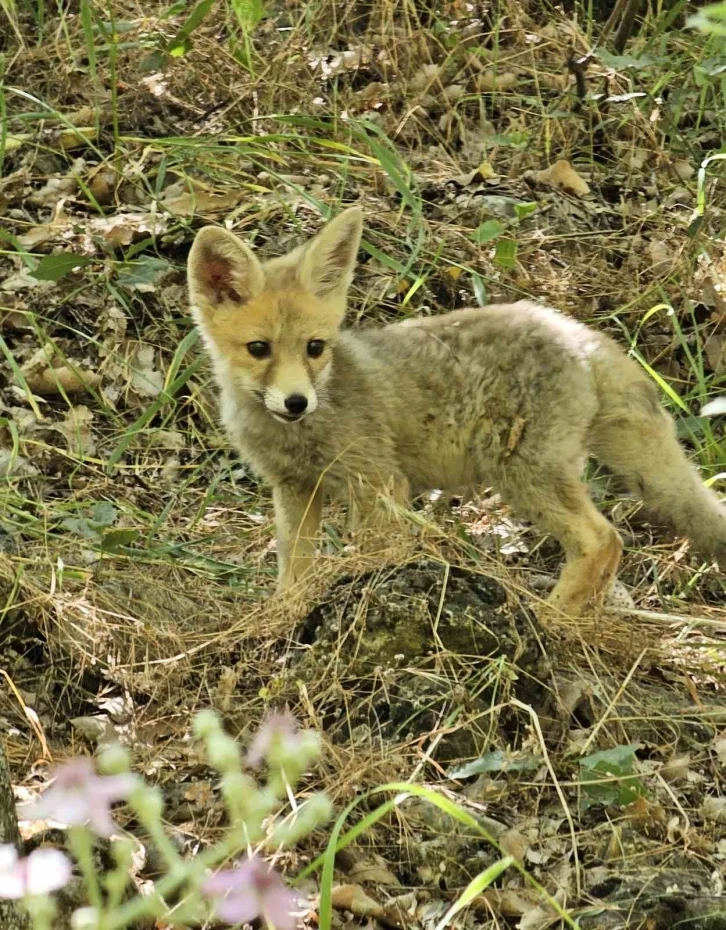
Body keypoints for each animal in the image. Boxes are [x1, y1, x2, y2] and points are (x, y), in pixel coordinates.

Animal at [189, 208, 726, 616]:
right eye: (259, 349)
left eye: (314, 348)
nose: (297, 402)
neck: (296, 436)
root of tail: (574, 329)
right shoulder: (295, 488)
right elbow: (293, 571)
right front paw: (281, 618)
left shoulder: (378, 485)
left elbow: (375, 556)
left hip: (523, 473)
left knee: (604, 540)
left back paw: (552, 620)